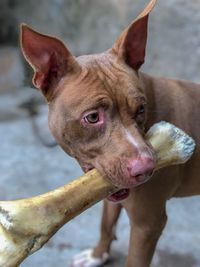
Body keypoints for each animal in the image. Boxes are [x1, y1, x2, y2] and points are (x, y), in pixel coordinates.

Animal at [20, 0, 200, 266]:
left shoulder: (148, 225)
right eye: (93, 117)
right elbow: (106, 223)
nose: (147, 168)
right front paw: (97, 255)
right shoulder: (110, 189)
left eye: (141, 109)